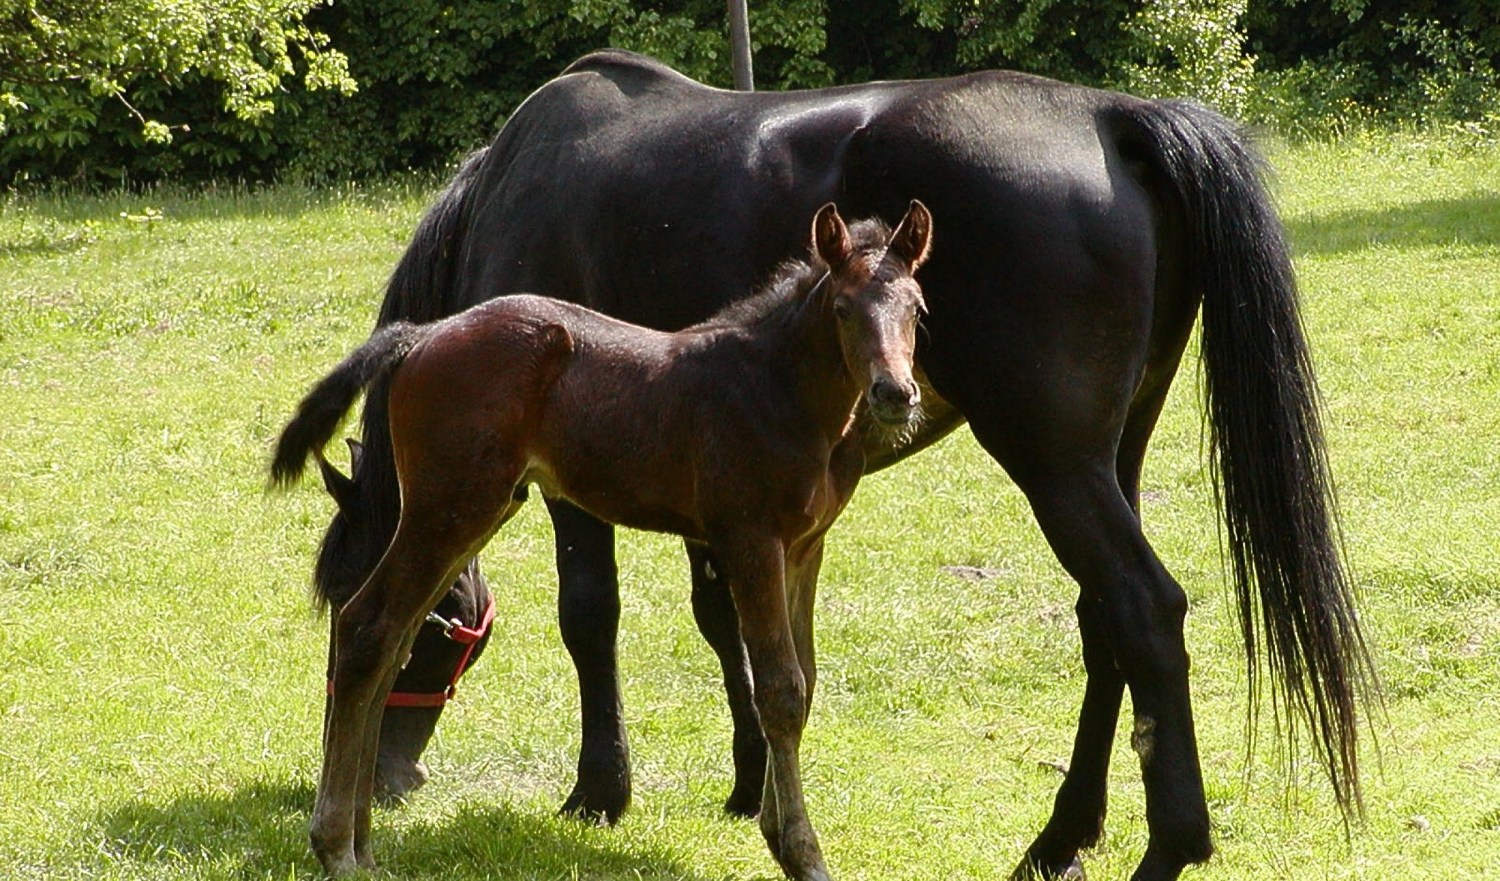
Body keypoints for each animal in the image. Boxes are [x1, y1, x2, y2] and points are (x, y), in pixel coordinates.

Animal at [270, 201, 924, 881]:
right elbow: (780, 689)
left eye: (917, 309)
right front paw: (801, 853)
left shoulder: (805, 548)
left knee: (393, 638)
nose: (895, 394)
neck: (778, 389)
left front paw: (776, 830)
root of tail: (421, 337)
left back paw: (363, 845)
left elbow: (807, 680)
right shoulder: (750, 540)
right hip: (448, 507)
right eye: (843, 308)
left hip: (469, 511)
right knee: (368, 627)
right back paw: (336, 847)